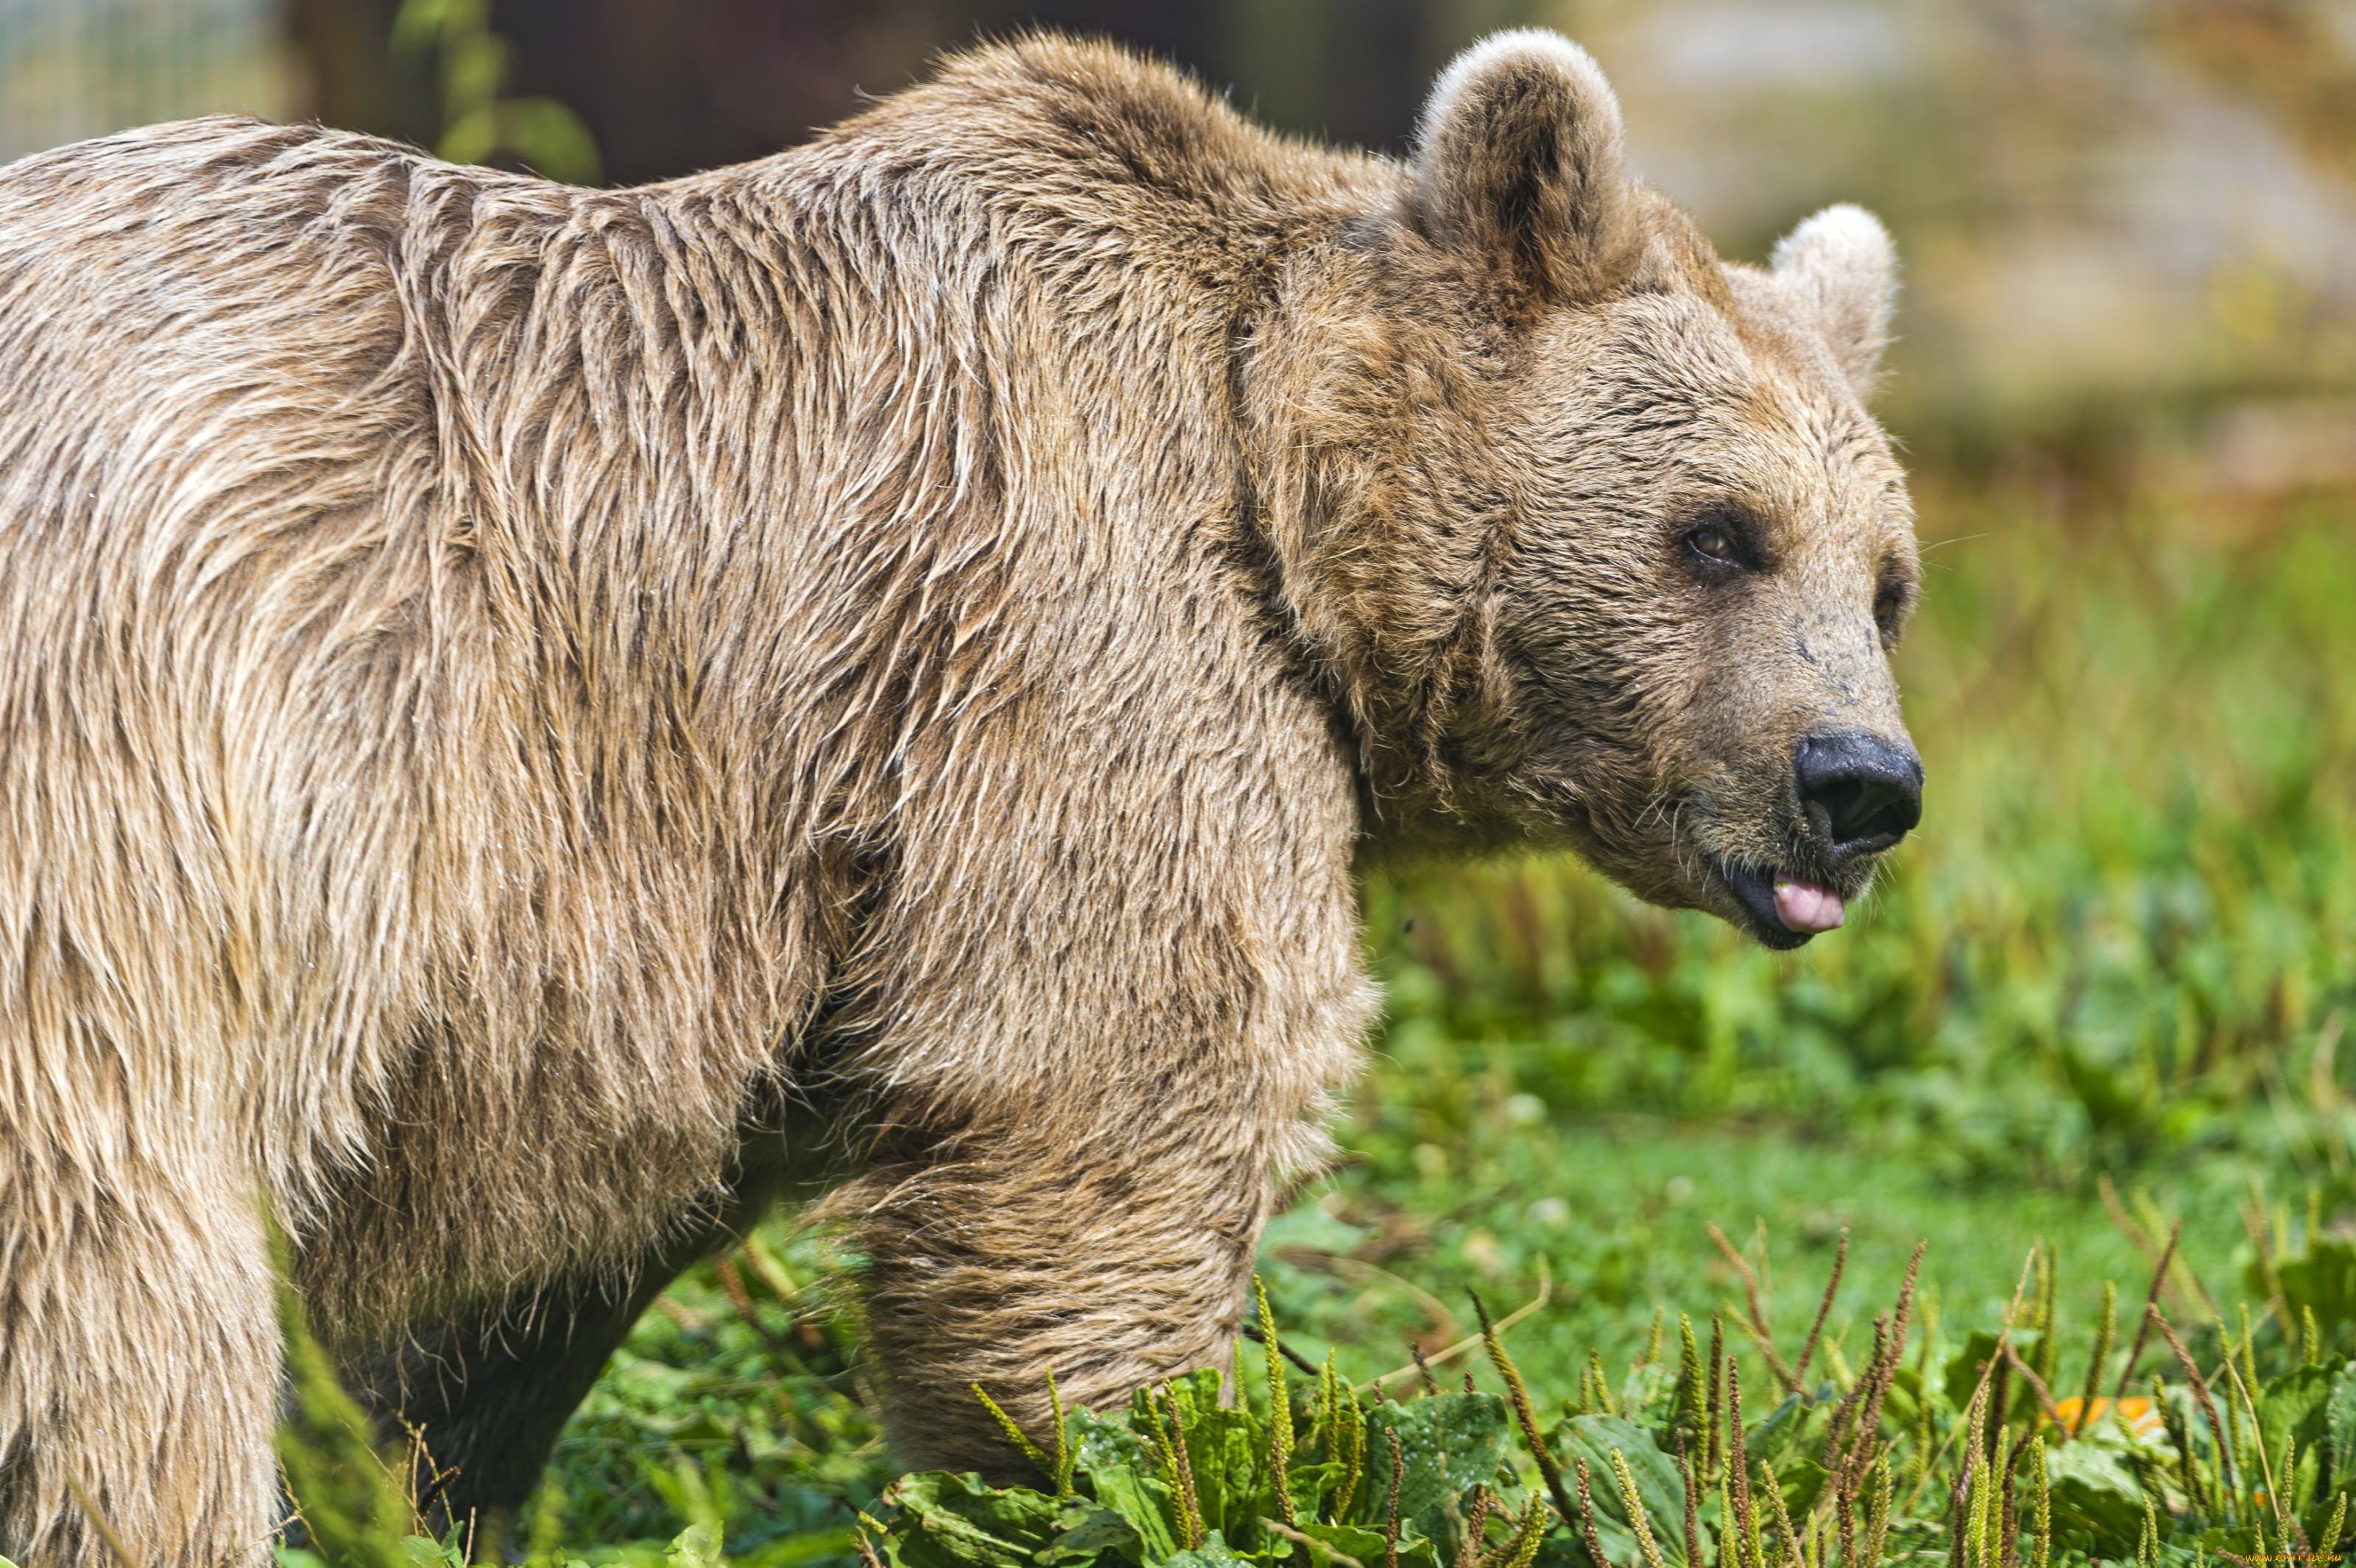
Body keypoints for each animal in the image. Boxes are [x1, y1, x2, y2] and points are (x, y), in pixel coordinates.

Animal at [0, 27, 1913, 1563]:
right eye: (1718, 534)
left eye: (1886, 582)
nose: (1860, 783)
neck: (1279, 485)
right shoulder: (1054, 657)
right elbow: (1108, 1127)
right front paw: (1184, 1469)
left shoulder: (649, 949)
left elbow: (525, 1281)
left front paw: (434, 1476)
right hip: (151, 754)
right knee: (126, 1278)